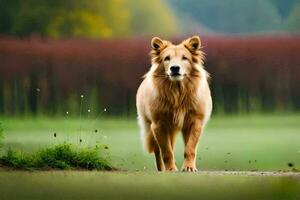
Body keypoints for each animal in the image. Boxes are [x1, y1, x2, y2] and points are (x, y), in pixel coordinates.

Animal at [137, 36, 212, 172]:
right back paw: (162, 168)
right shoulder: (159, 124)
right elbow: (166, 151)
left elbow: (190, 148)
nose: (175, 68)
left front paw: (189, 167)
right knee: (158, 150)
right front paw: (171, 168)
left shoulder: (195, 122)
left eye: (185, 58)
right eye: (167, 58)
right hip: (151, 126)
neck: (178, 93)